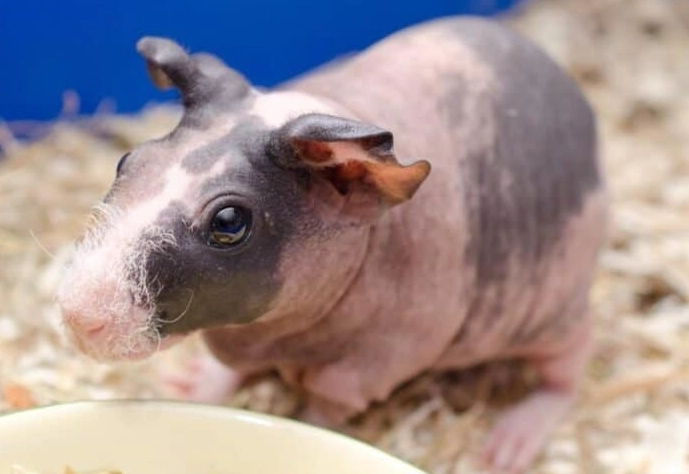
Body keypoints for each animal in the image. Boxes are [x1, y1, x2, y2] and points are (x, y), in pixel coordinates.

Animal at [57, 16, 608, 474]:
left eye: (230, 222)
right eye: (128, 161)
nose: (79, 317)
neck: (278, 335)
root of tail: (568, 89)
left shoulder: (375, 363)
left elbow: (325, 406)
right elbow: (225, 371)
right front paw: (189, 386)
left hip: (554, 313)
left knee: (571, 365)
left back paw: (510, 444)